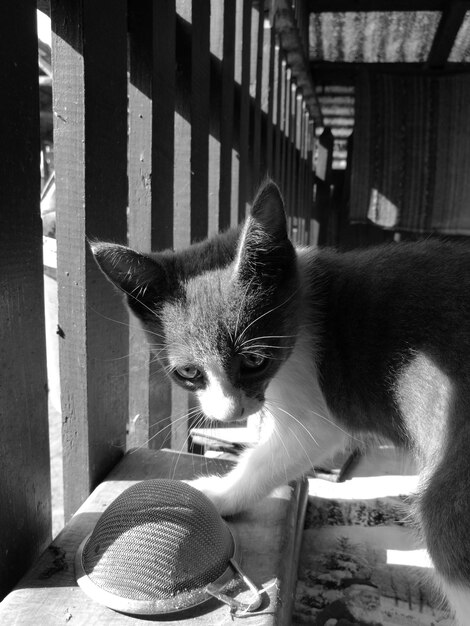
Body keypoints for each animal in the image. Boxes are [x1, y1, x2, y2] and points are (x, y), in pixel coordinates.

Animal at [92, 178, 470, 620]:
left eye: (254, 360)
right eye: (188, 372)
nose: (230, 411)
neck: (302, 309)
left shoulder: (316, 412)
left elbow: (272, 456)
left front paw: (214, 497)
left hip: (452, 489)